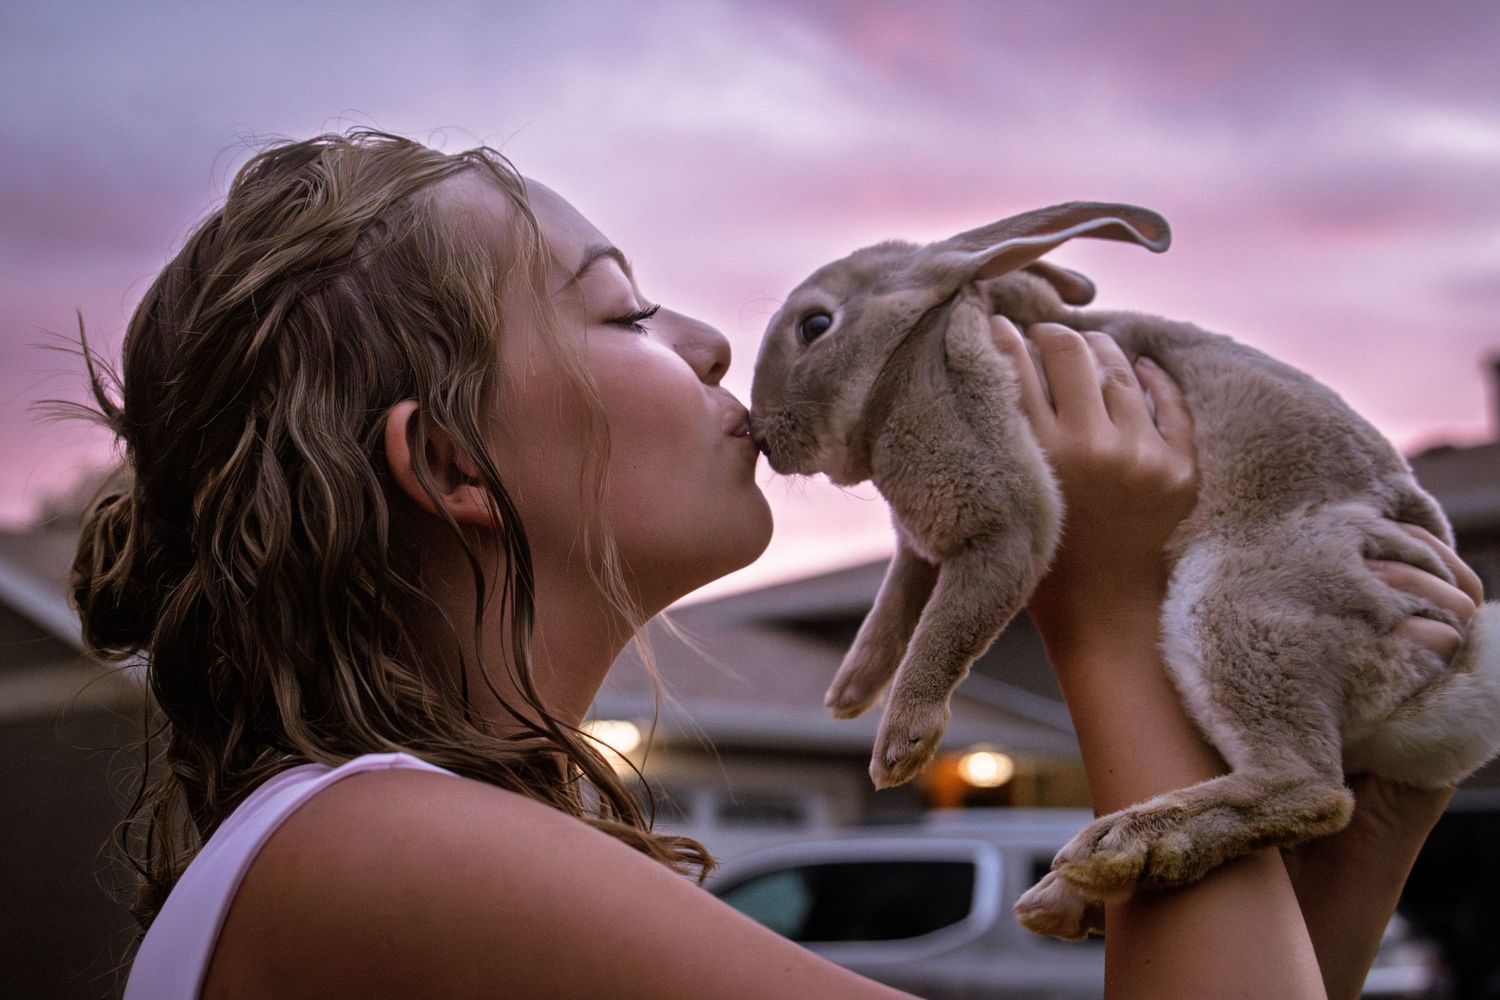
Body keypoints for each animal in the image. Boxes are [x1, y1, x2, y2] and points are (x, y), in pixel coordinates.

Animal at [747, 201, 1500, 940]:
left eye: (815, 325)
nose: (763, 438)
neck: (908, 353)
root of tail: (1435, 680)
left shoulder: (993, 494)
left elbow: (951, 618)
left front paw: (898, 747)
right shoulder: (918, 548)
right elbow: (897, 602)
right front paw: (848, 693)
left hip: (1235, 604)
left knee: (1313, 789)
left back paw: (1123, 849)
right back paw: (1067, 898)